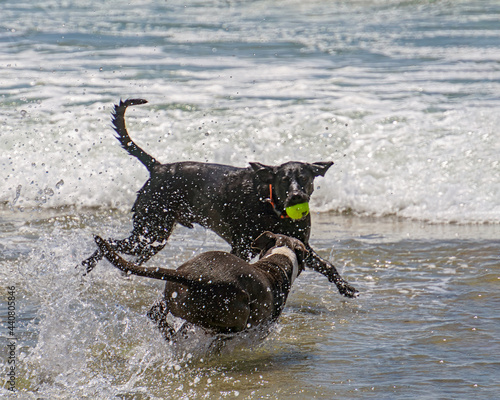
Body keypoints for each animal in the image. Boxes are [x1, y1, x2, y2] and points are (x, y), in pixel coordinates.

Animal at [83, 98, 356, 296]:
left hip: (153, 238)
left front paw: (345, 286)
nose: (297, 197)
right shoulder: (242, 246)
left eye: (305, 178)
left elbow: (326, 265)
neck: (274, 209)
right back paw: (89, 263)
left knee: (130, 257)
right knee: (110, 244)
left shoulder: (302, 245)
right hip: (150, 229)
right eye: (284, 180)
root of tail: (159, 168)